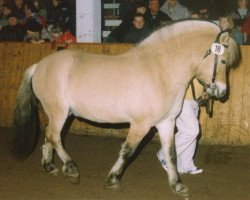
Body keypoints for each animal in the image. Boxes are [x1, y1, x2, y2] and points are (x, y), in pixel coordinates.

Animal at [12, 20, 240, 197]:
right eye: (223, 61)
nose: (221, 92)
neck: (160, 70)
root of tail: (39, 65)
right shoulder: (141, 124)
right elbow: (128, 151)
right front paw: (113, 179)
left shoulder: (166, 122)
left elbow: (171, 153)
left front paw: (177, 185)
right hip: (59, 112)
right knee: (55, 136)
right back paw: (71, 170)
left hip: (58, 113)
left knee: (49, 136)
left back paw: (50, 166)